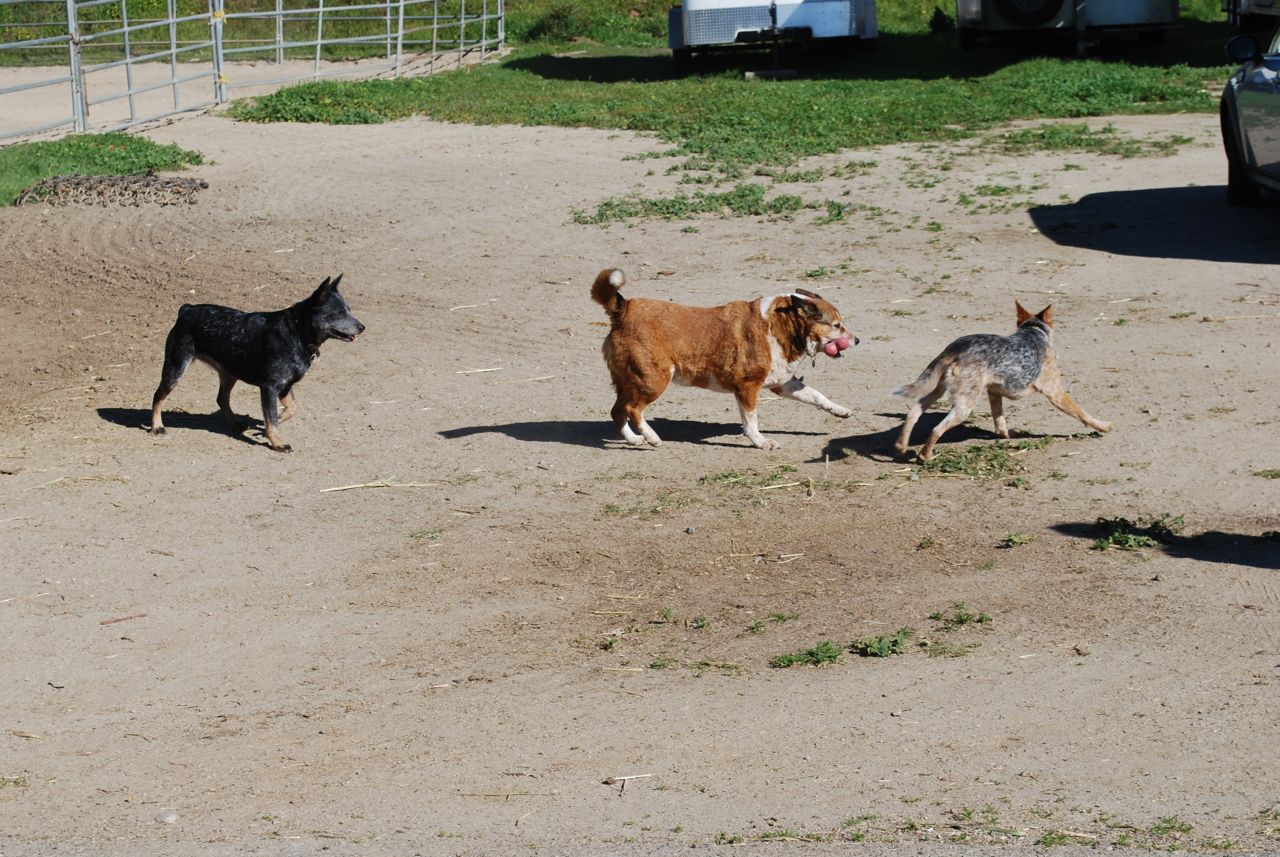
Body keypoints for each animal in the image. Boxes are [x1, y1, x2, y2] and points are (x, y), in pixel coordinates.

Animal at [148, 275, 366, 452]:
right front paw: (277, 442)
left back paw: (236, 424)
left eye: (349, 310)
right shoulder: (269, 387)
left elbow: (289, 409)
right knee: (158, 396)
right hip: (176, 367)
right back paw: (157, 426)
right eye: (338, 313)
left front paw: (269, 426)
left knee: (221, 399)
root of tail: (187, 309)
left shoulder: (285, 386)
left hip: (230, 372)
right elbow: (272, 418)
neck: (297, 332)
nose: (362, 327)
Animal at [591, 269, 860, 452]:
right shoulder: (748, 388)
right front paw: (761, 442)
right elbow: (751, 421)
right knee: (632, 410)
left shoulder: (783, 384)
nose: (857, 340)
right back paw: (652, 437)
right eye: (837, 325)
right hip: (653, 380)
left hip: (631, 382)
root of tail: (624, 309)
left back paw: (634, 439)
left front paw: (840, 410)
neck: (781, 325)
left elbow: (817, 396)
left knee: (617, 411)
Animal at [890, 304, 1111, 463]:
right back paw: (924, 456)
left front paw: (1005, 435)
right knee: (937, 429)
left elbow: (999, 419)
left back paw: (901, 446)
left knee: (914, 412)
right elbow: (1082, 413)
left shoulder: (993, 392)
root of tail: (955, 347)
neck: (1032, 332)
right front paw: (1103, 426)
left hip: (937, 390)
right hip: (964, 405)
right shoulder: (1055, 392)